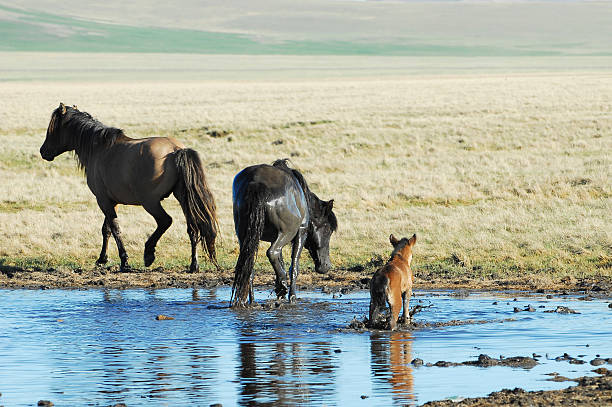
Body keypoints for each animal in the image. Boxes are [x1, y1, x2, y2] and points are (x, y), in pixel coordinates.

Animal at [40, 103, 219, 274]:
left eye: (53, 128)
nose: (43, 151)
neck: (99, 149)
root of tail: (176, 150)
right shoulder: (112, 201)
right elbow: (106, 229)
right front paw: (102, 259)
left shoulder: (103, 200)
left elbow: (115, 228)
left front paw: (124, 261)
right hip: (183, 198)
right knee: (193, 228)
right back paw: (193, 265)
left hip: (151, 202)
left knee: (165, 221)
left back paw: (149, 254)